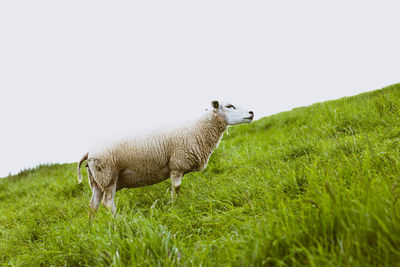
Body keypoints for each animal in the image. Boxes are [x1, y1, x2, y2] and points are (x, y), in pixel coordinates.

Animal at [76, 100, 255, 216]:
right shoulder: (177, 164)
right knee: (107, 204)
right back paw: (119, 220)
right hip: (108, 175)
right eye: (229, 106)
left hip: (97, 181)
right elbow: (176, 188)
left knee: (93, 205)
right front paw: (175, 205)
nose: (251, 113)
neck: (198, 129)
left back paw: (92, 228)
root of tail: (89, 152)